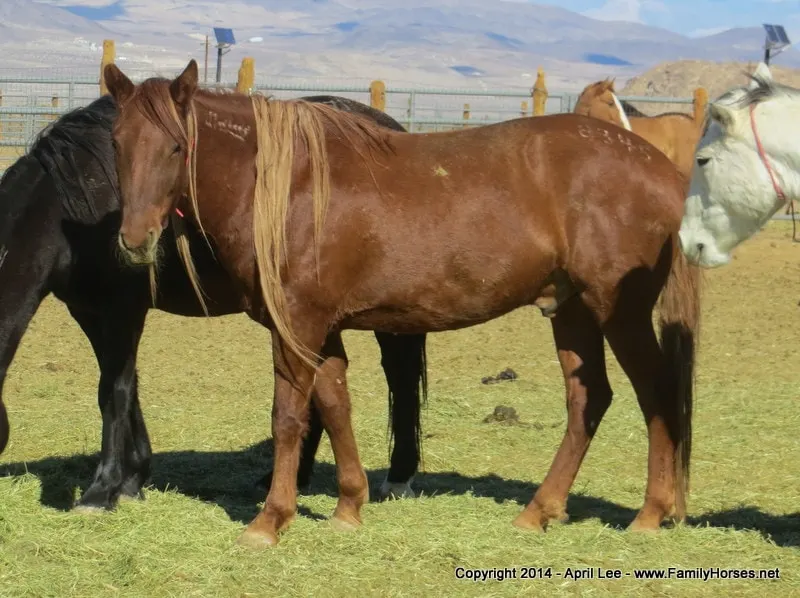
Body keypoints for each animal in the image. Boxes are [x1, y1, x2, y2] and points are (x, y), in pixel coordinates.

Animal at [0, 94, 424, 510]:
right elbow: (125, 384)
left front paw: (102, 490)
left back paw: (397, 477)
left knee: (400, 376)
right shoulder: (87, 310)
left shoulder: (123, 309)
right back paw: (294, 476)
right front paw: (133, 477)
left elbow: (114, 390)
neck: (74, 201)